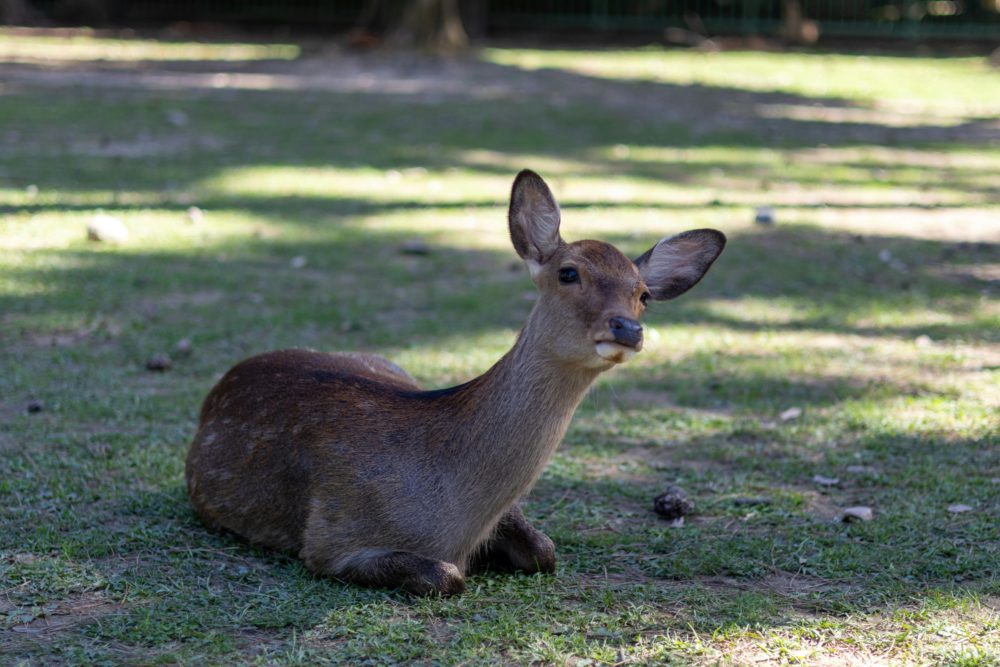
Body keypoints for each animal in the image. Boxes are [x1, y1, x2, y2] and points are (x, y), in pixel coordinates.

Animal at [184, 170, 724, 596]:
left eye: (644, 294)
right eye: (569, 272)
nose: (628, 328)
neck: (453, 520)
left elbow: (545, 550)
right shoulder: (330, 538)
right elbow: (447, 576)